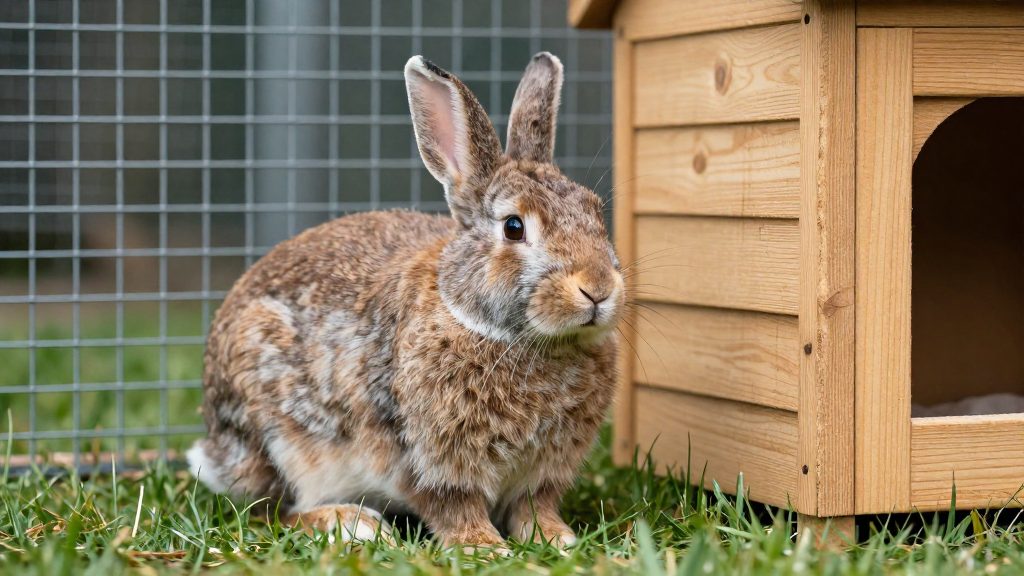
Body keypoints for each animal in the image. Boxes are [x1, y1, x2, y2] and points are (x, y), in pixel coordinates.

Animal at [187, 52, 623, 549]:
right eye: (514, 227)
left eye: (595, 213)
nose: (598, 288)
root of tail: (218, 449)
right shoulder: (427, 457)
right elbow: (453, 506)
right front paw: (483, 547)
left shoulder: (544, 471)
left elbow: (535, 505)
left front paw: (557, 539)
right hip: (278, 436)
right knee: (277, 511)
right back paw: (353, 524)